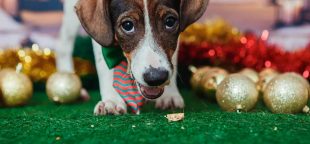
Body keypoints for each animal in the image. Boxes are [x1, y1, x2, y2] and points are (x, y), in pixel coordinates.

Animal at [57, 0, 209, 115]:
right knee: (64, 45)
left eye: (170, 22)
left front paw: (169, 95)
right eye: (127, 25)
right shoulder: (102, 34)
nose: (156, 77)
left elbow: (172, 60)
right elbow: (104, 66)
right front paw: (111, 100)